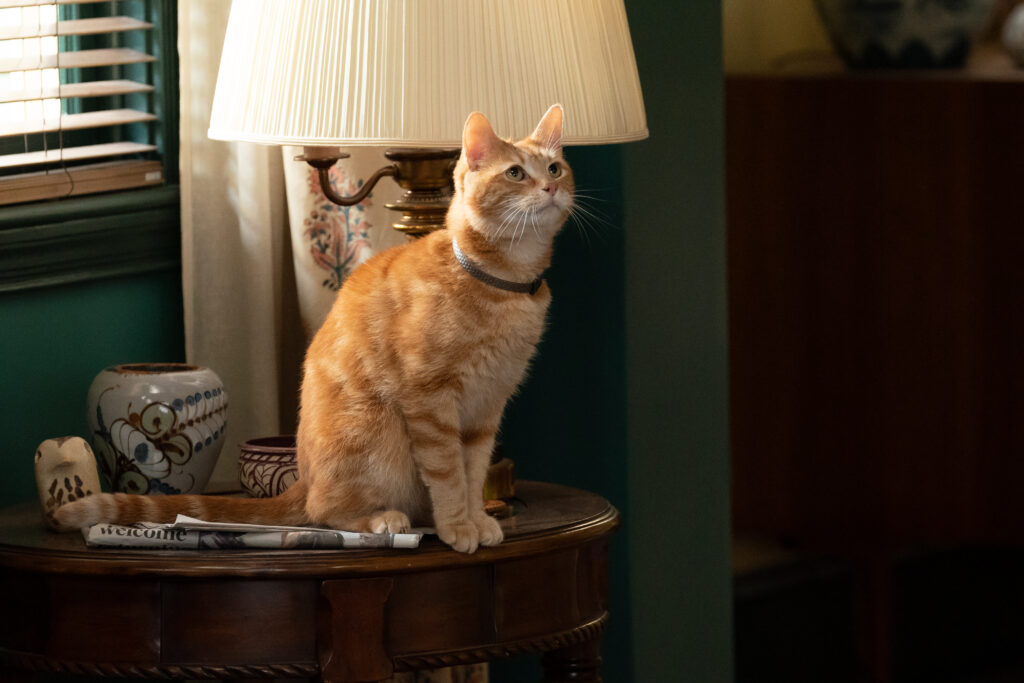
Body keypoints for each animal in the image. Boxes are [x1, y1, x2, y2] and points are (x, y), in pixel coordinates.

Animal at [56, 108, 573, 557]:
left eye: (555, 167)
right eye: (515, 174)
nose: (550, 185)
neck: (502, 285)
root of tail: (300, 478)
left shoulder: (487, 407)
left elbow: (473, 469)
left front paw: (475, 517)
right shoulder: (431, 401)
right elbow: (448, 475)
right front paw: (457, 525)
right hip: (377, 429)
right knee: (324, 512)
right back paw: (382, 519)